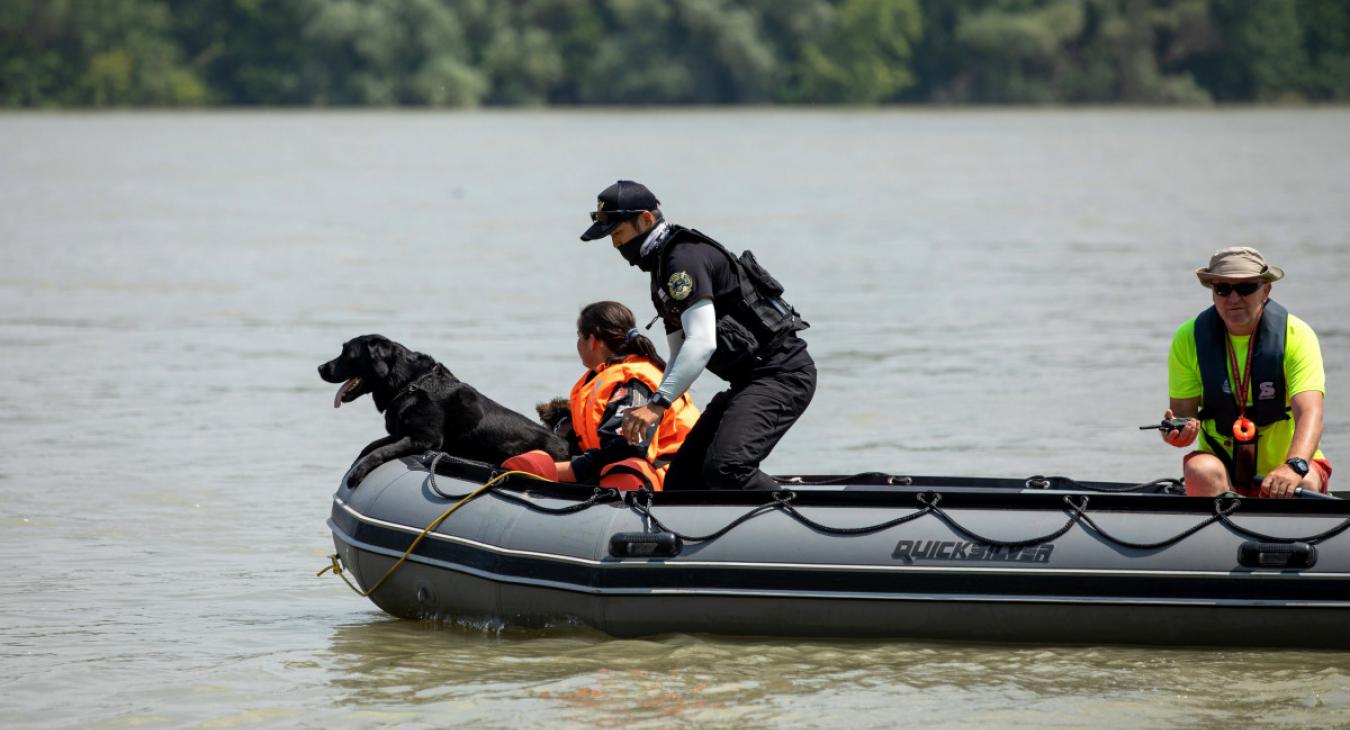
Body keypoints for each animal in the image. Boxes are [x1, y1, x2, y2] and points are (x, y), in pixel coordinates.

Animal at [318, 334, 567, 483]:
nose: (320, 368)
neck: (410, 384)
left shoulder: (424, 439)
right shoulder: (400, 433)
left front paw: (358, 473)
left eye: (346, 353)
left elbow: (381, 451)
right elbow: (372, 446)